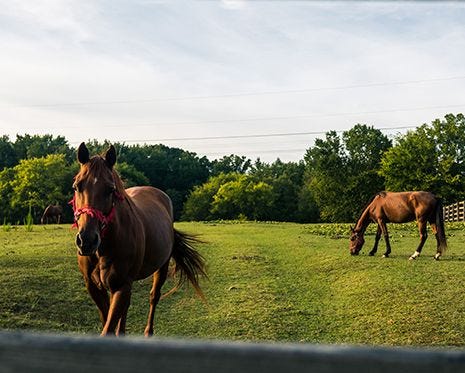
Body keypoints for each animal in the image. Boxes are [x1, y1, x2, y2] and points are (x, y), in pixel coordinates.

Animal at [70, 142, 205, 334]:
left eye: (111, 189)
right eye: (76, 186)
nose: (87, 240)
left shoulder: (122, 286)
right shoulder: (95, 288)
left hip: (161, 267)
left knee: (154, 297)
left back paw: (148, 332)